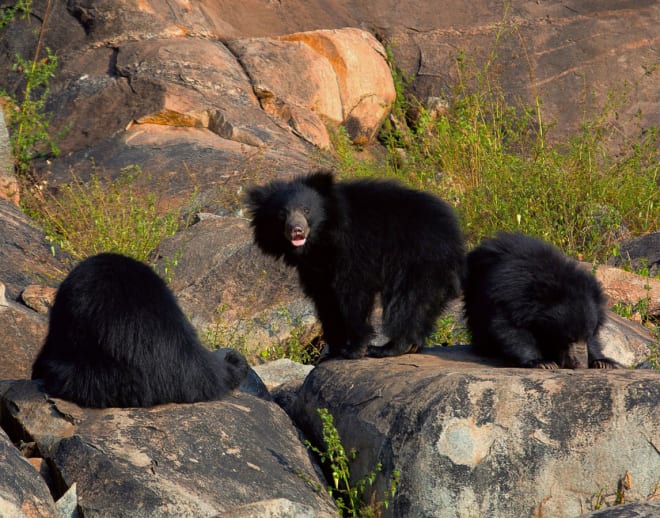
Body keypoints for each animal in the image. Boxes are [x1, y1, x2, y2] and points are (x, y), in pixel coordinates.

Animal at [244, 173, 464, 360]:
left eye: (306, 210)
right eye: (282, 214)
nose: (296, 230)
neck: (322, 239)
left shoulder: (354, 249)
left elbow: (353, 293)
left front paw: (354, 350)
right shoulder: (316, 266)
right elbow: (326, 299)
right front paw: (334, 350)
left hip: (416, 259)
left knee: (405, 302)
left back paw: (388, 348)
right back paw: (413, 345)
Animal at [462, 234, 620, 372]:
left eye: (586, 337)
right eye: (569, 338)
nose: (581, 365)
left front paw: (603, 362)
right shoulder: (510, 295)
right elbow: (510, 328)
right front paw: (543, 362)